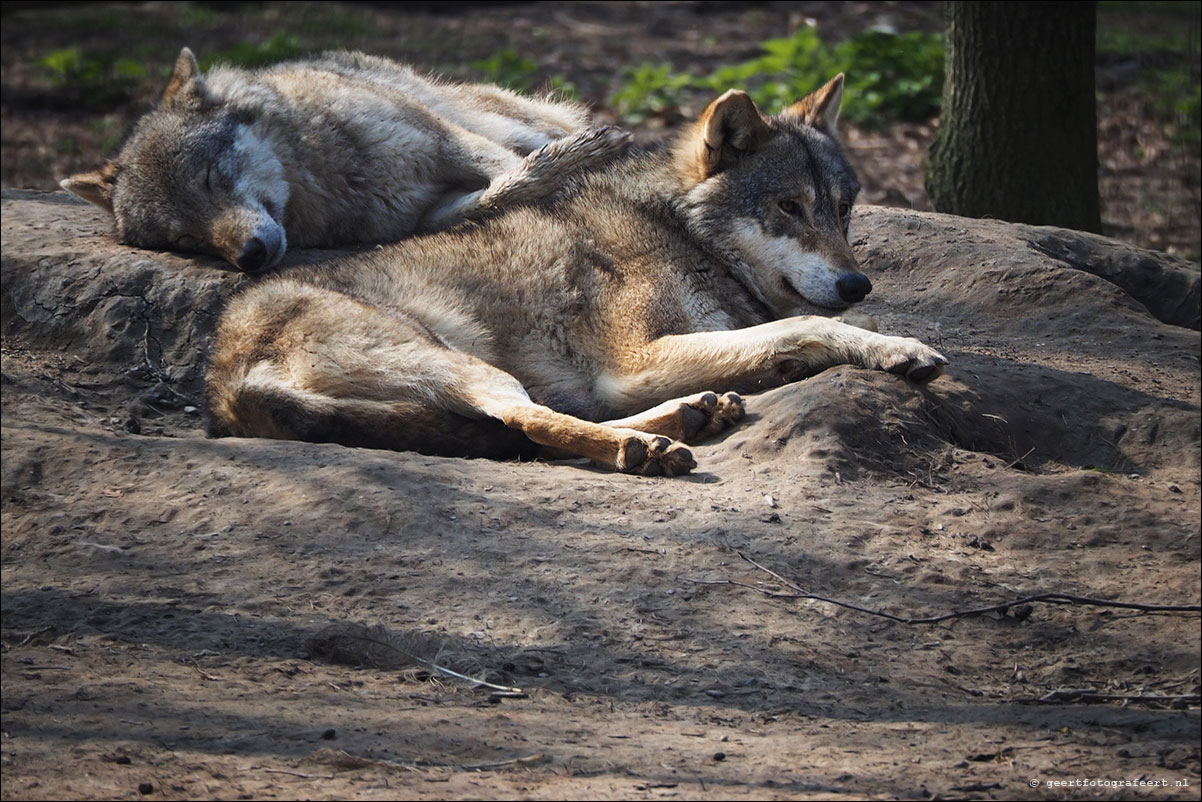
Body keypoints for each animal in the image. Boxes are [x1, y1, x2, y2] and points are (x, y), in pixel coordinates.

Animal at [59, 47, 625, 272]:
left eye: (211, 179)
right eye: (183, 240)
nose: (250, 257)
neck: (335, 178)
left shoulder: (449, 143)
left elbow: (510, 170)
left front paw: (571, 168)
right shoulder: (423, 215)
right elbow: (497, 196)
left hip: (509, 121)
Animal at [206, 76, 947, 476]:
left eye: (842, 209)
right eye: (789, 207)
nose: (857, 284)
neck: (682, 233)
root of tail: (224, 382)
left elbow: (790, 327)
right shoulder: (633, 363)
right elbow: (801, 327)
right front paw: (896, 347)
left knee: (533, 424)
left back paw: (690, 416)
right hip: (457, 360)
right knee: (529, 419)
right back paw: (645, 446)